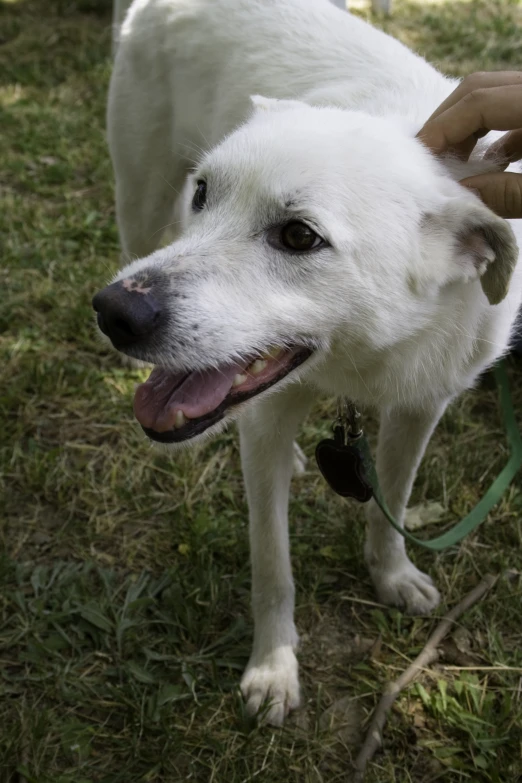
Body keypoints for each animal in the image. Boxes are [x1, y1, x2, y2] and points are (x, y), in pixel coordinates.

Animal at [95, 0, 516, 728]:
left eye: (298, 236)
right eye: (205, 194)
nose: (113, 312)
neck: (364, 359)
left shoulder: (420, 405)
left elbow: (391, 498)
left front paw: (391, 575)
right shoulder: (267, 418)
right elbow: (274, 566)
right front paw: (273, 668)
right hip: (141, 209)